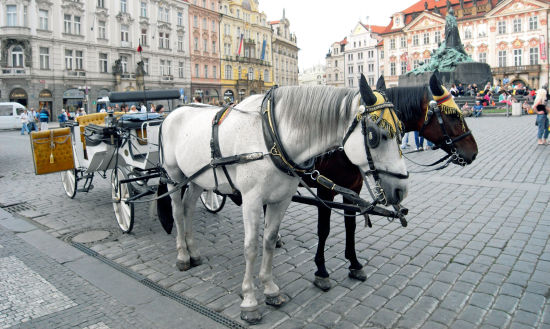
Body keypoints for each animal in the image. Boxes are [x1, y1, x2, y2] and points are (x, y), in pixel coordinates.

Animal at [161, 75, 410, 322]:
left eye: (401, 130)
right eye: (375, 135)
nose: (402, 190)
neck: (269, 137)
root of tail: (174, 112)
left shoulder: (281, 199)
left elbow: (269, 241)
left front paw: (270, 289)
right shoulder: (251, 200)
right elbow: (251, 247)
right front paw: (249, 300)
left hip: (196, 179)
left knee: (188, 207)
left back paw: (193, 251)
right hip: (174, 177)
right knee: (177, 212)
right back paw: (183, 255)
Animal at [308, 70, 480, 288]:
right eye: (454, 115)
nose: (473, 152)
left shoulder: (352, 188)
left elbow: (350, 225)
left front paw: (354, 263)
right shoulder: (325, 190)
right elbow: (323, 229)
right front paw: (321, 270)